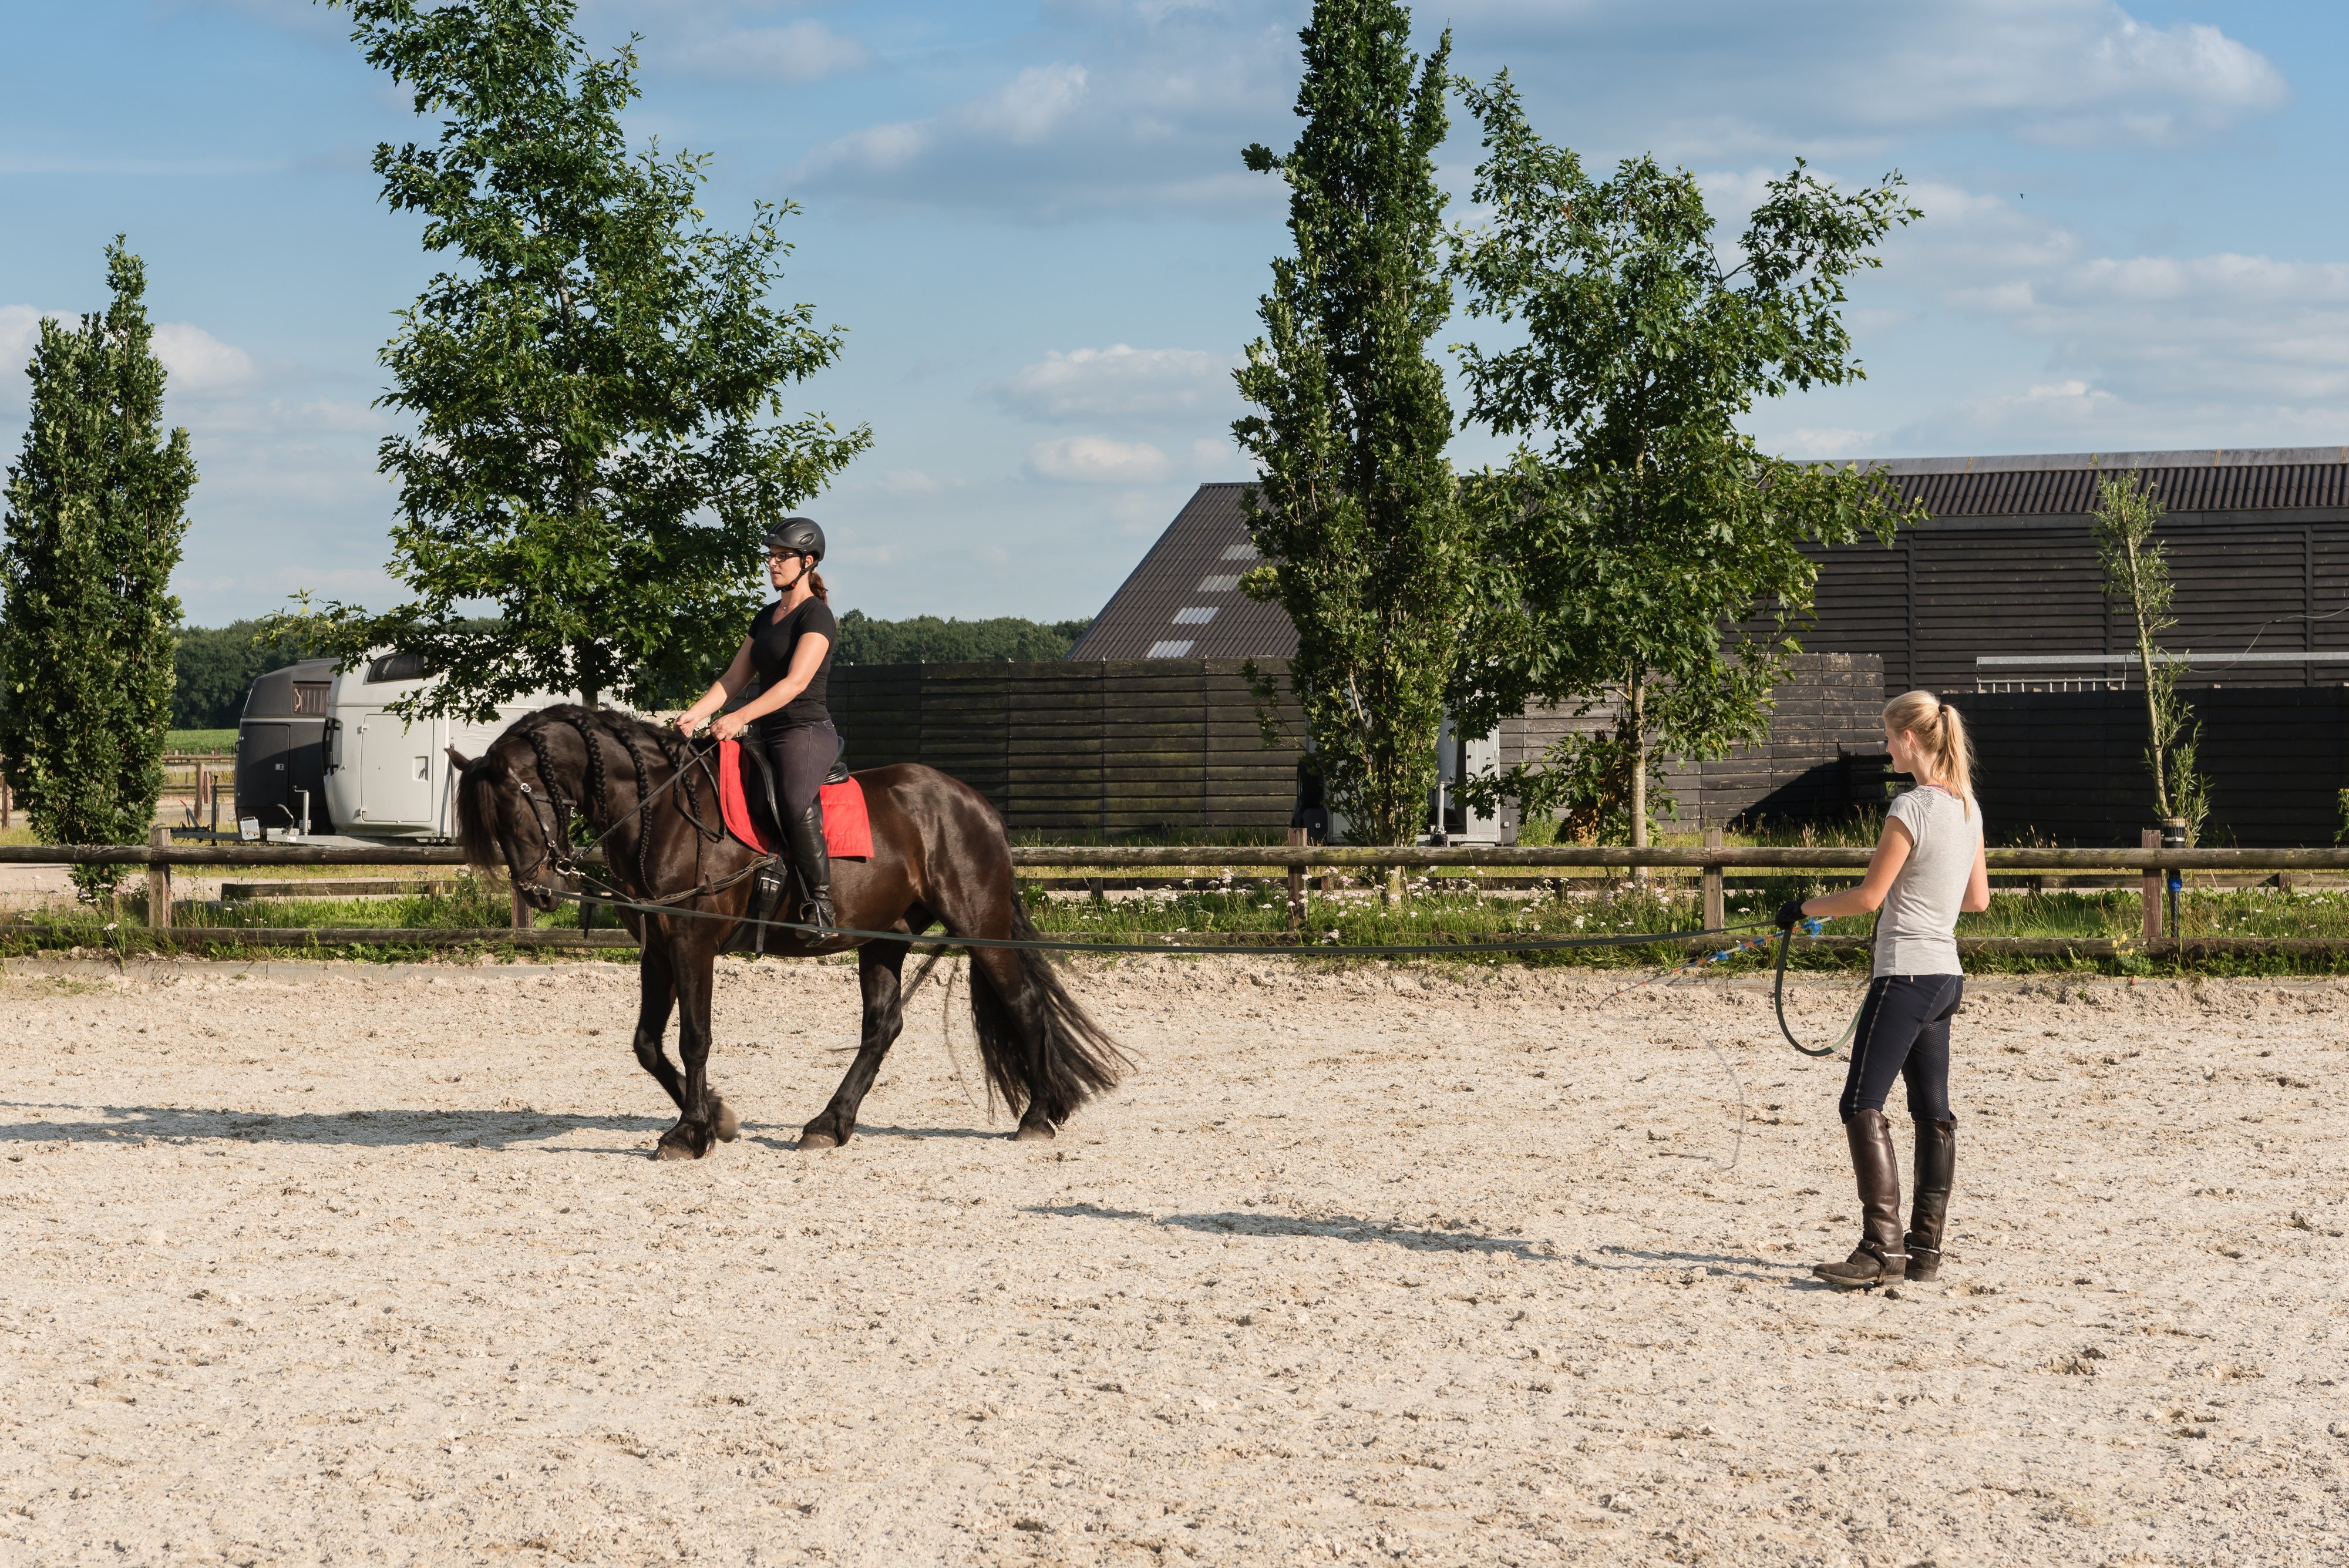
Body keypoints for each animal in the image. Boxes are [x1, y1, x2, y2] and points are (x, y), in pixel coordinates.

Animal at [456, 704, 1128, 1159]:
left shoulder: (693, 942)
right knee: (883, 1026)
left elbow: (693, 1038)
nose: (540, 892)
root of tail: (975, 805)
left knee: (1022, 1002)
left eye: (519, 809)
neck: (666, 811)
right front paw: (717, 1117)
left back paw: (1037, 1117)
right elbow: (648, 1044)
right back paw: (829, 1125)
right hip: (883, 939)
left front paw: (691, 1134)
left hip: (979, 926)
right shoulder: (659, 948)